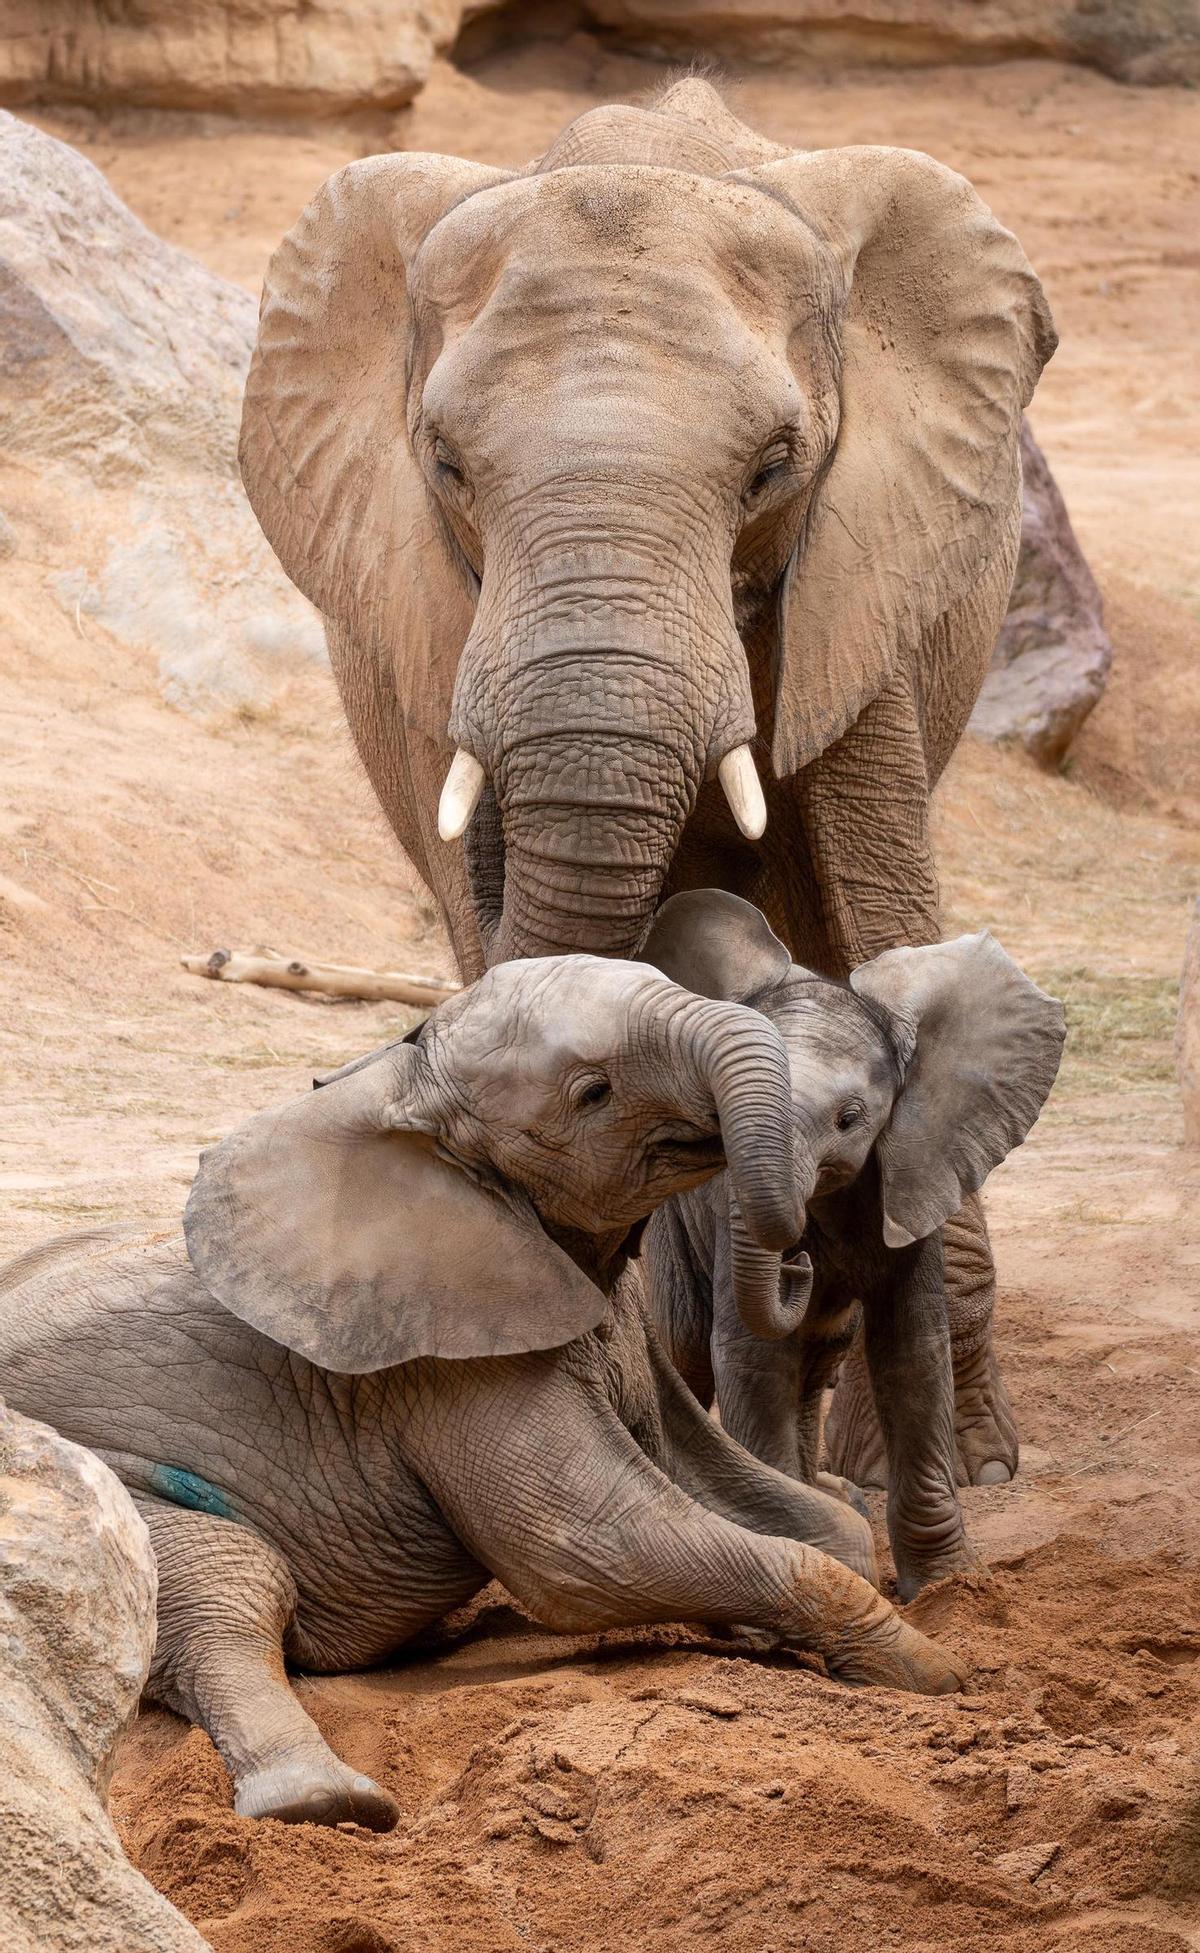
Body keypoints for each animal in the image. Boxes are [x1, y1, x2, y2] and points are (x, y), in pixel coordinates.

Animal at [0, 956, 965, 1828]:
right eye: (592, 1092)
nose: (802, 1261)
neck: (404, 1091)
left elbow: (801, 1518)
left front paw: (770, 1633)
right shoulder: (442, 1363)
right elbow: (593, 1549)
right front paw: (939, 1678)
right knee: (229, 1575)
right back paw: (326, 1804)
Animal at [644, 894, 1071, 1601]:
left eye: (850, 1119)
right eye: (720, 1114)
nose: (796, 1264)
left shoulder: (911, 1177)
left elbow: (913, 1354)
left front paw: (947, 1588)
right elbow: (752, 1358)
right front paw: (815, 1559)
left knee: (818, 1357)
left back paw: (836, 1496)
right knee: (683, 1349)